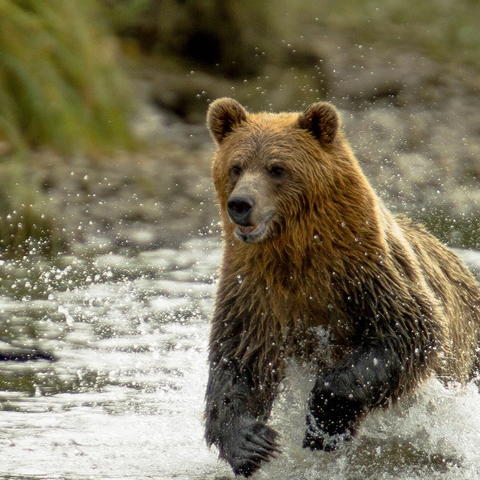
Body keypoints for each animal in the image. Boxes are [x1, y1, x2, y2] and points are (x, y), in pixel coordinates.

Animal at [203, 97, 480, 476]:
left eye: (277, 168)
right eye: (236, 166)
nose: (241, 204)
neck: (297, 254)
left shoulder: (368, 271)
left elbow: (405, 333)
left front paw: (323, 423)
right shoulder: (253, 290)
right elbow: (239, 360)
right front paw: (251, 443)